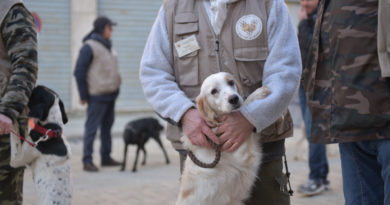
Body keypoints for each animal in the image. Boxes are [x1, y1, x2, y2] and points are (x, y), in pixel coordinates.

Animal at [177, 72, 272, 205]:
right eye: (214, 91)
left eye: (231, 82)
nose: (234, 98)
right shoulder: (244, 154)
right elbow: (245, 105)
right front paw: (259, 92)